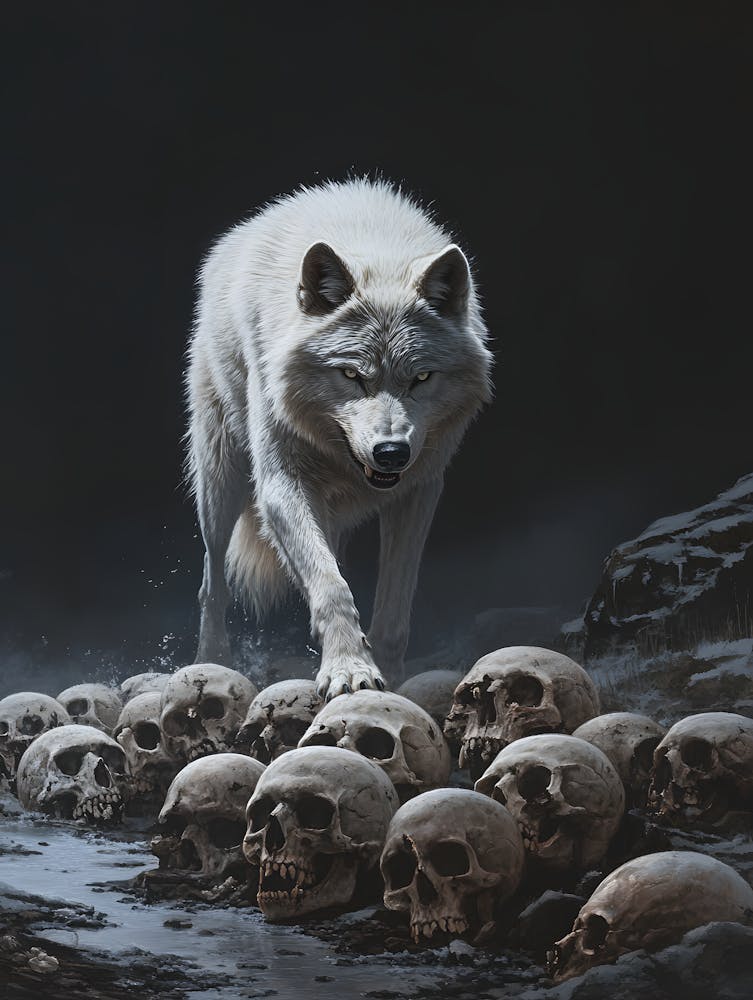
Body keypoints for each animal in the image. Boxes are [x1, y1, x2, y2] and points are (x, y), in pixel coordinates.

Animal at [185, 178, 493, 700]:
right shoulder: (280, 487)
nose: (391, 453)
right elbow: (330, 586)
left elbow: (394, 603)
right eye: (351, 375)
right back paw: (212, 662)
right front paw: (350, 669)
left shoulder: (420, 490)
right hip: (220, 483)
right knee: (212, 584)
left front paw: (389, 676)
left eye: (421, 377)